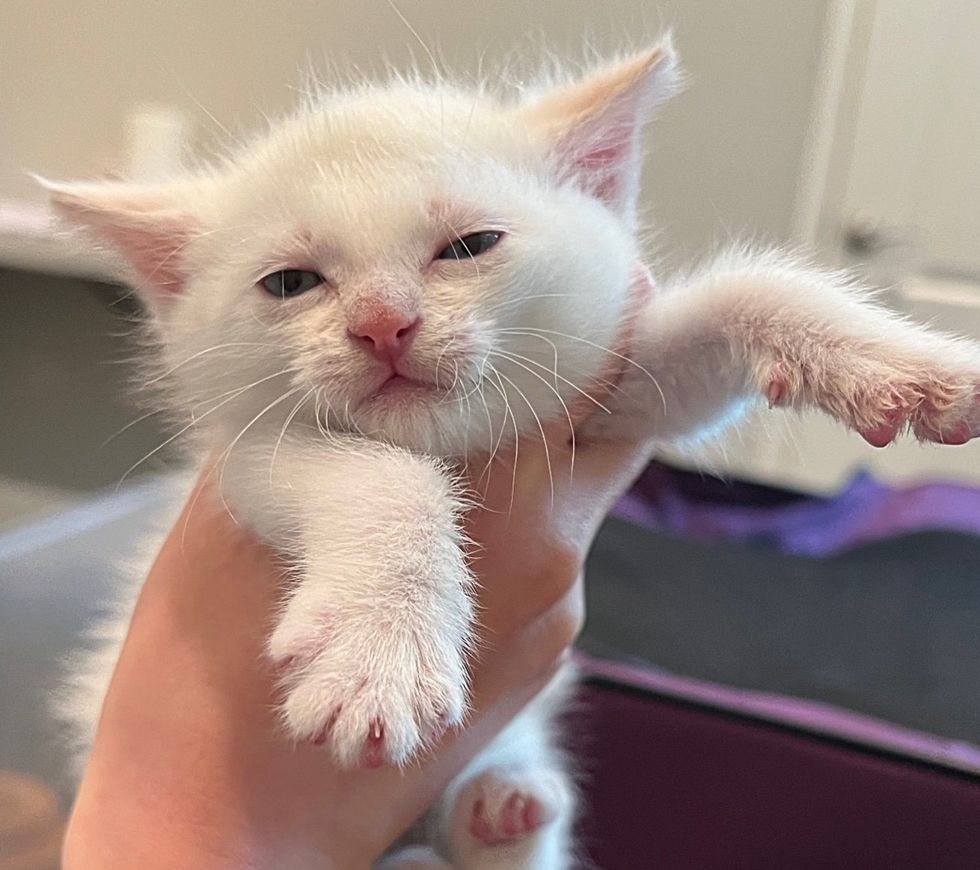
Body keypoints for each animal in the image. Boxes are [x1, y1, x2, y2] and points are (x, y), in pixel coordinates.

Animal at [46, 37, 980, 868]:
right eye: (291, 283)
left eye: (468, 246)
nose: (383, 324)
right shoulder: (245, 453)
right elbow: (379, 472)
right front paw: (380, 651)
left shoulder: (612, 399)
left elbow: (742, 298)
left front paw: (908, 366)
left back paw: (502, 813)